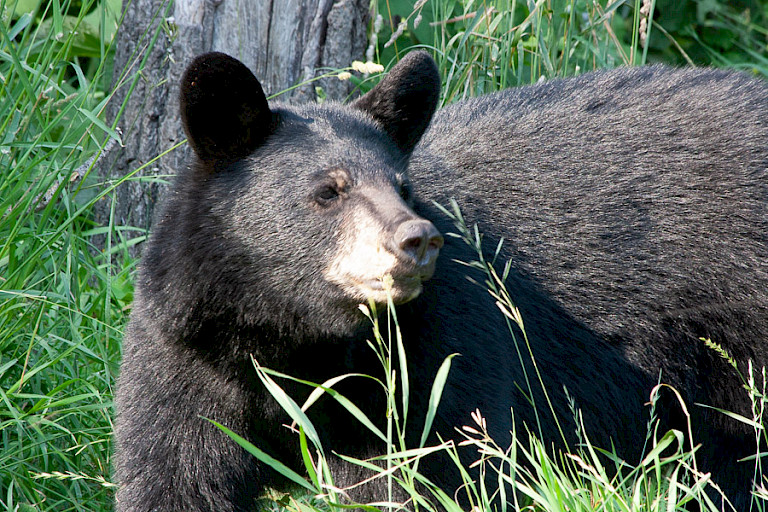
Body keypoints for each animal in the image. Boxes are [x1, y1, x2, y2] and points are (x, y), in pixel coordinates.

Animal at [115, 49, 768, 512]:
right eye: (328, 191)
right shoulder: (186, 352)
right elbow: (173, 472)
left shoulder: (439, 346)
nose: (417, 240)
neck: (294, 337)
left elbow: (442, 467)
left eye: (403, 186)